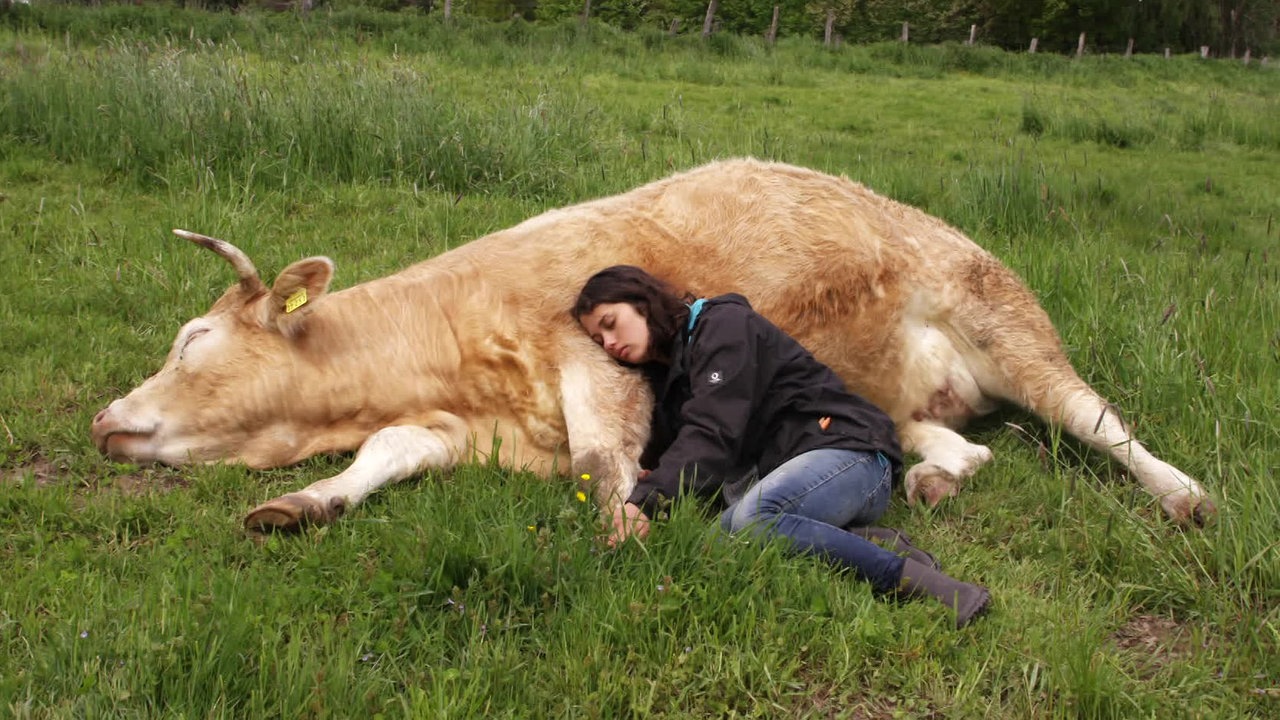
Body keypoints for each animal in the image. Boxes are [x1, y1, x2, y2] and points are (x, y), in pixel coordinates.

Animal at [87, 156, 1208, 527]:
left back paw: (1181, 494)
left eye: (189, 339)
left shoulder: (598, 366)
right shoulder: (453, 427)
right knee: (953, 444)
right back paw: (935, 474)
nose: (106, 419)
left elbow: (604, 461)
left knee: (1098, 420)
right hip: (899, 394)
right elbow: (387, 451)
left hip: (1008, 324)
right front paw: (302, 501)